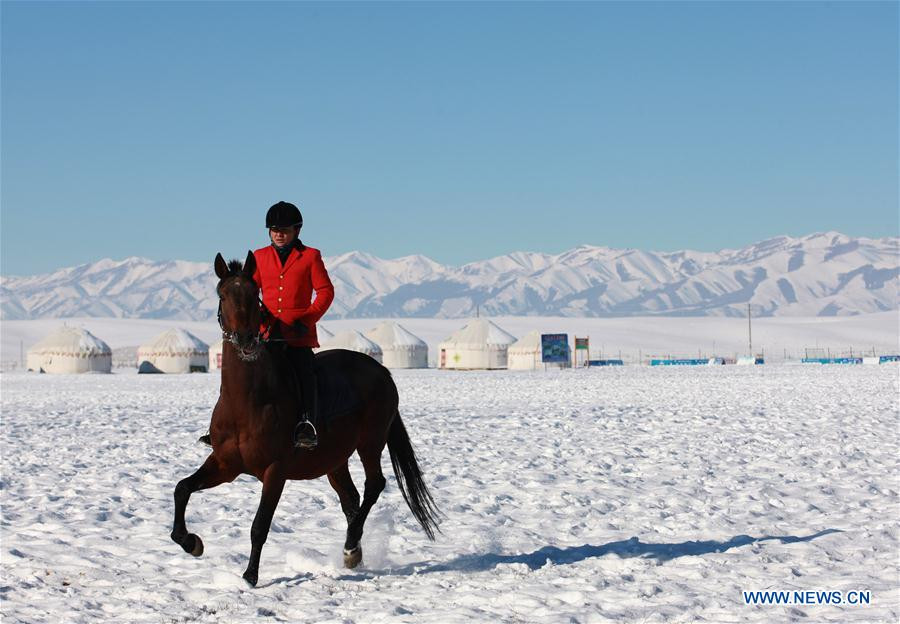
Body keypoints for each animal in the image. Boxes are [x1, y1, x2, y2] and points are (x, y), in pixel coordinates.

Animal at [171, 251, 442, 588]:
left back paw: (350, 547)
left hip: (370, 442)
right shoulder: (225, 464)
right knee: (351, 498)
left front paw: (249, 576)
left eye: (254, 294)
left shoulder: (275, 471)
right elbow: (182, 488)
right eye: (223, 294)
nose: (246, 340)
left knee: (374, 485)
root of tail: (382, 371)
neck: (246, 401)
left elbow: (259, 525)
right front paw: (191, 542)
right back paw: (354, 551)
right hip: (334, 459)